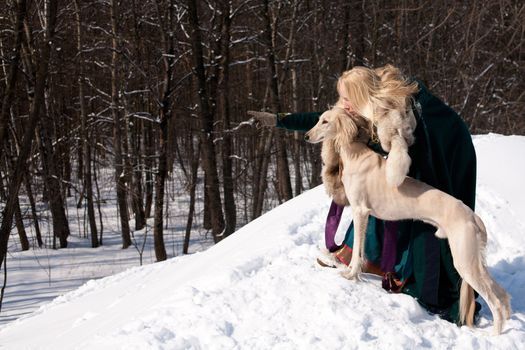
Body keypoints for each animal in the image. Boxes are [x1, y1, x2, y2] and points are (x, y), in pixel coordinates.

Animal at [304, 107, 510, 336]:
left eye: (325, 121)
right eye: (319, 120)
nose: (306, 136)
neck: (355, 154)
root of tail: (472, 216)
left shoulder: (360, 212)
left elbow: (357, 249)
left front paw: (350, 275)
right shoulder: (365, 215)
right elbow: (361, 249)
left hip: (465, 261)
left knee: (495, 300)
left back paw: (495, 334)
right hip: (474, 260)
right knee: (502, 294)